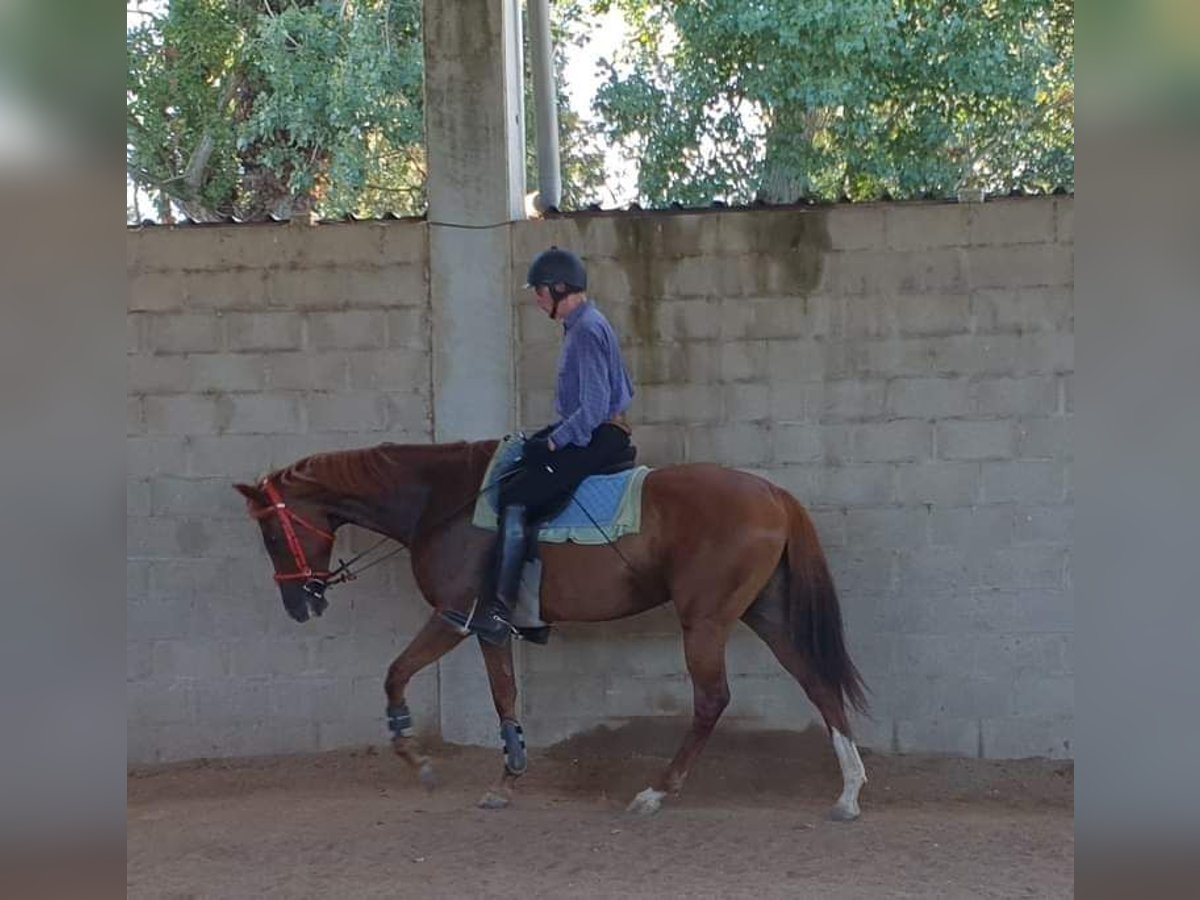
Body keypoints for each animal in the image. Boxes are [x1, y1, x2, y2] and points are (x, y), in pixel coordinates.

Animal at [236, 441, 873, 820]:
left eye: (270, 534)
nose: (299, 604)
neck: (439, 501)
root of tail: (773, 493)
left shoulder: (454, 617)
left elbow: (396, 675)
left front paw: (416, 759)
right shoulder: (490, 627)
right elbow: (504, 696)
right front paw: (508, 777)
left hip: (705, 619)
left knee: (713, 699)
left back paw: (657, 791)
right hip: (764, 612)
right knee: (816, 681)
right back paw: (847, 792)